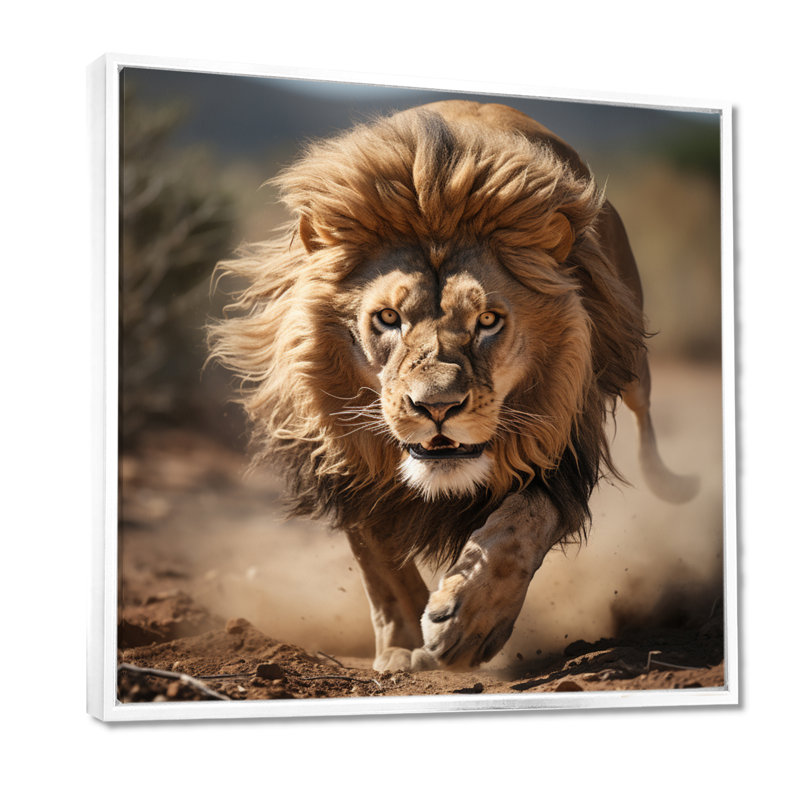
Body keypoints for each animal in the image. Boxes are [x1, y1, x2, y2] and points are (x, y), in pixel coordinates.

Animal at [209, 100, 698, 672]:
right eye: (388, 318)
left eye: (487, 321)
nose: (437, 407)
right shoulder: (347, 461)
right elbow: (380, 562)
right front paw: (404, 649)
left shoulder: (560, 446)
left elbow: (521, 526)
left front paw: (467, 622)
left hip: (631, 355)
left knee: (646, 427)